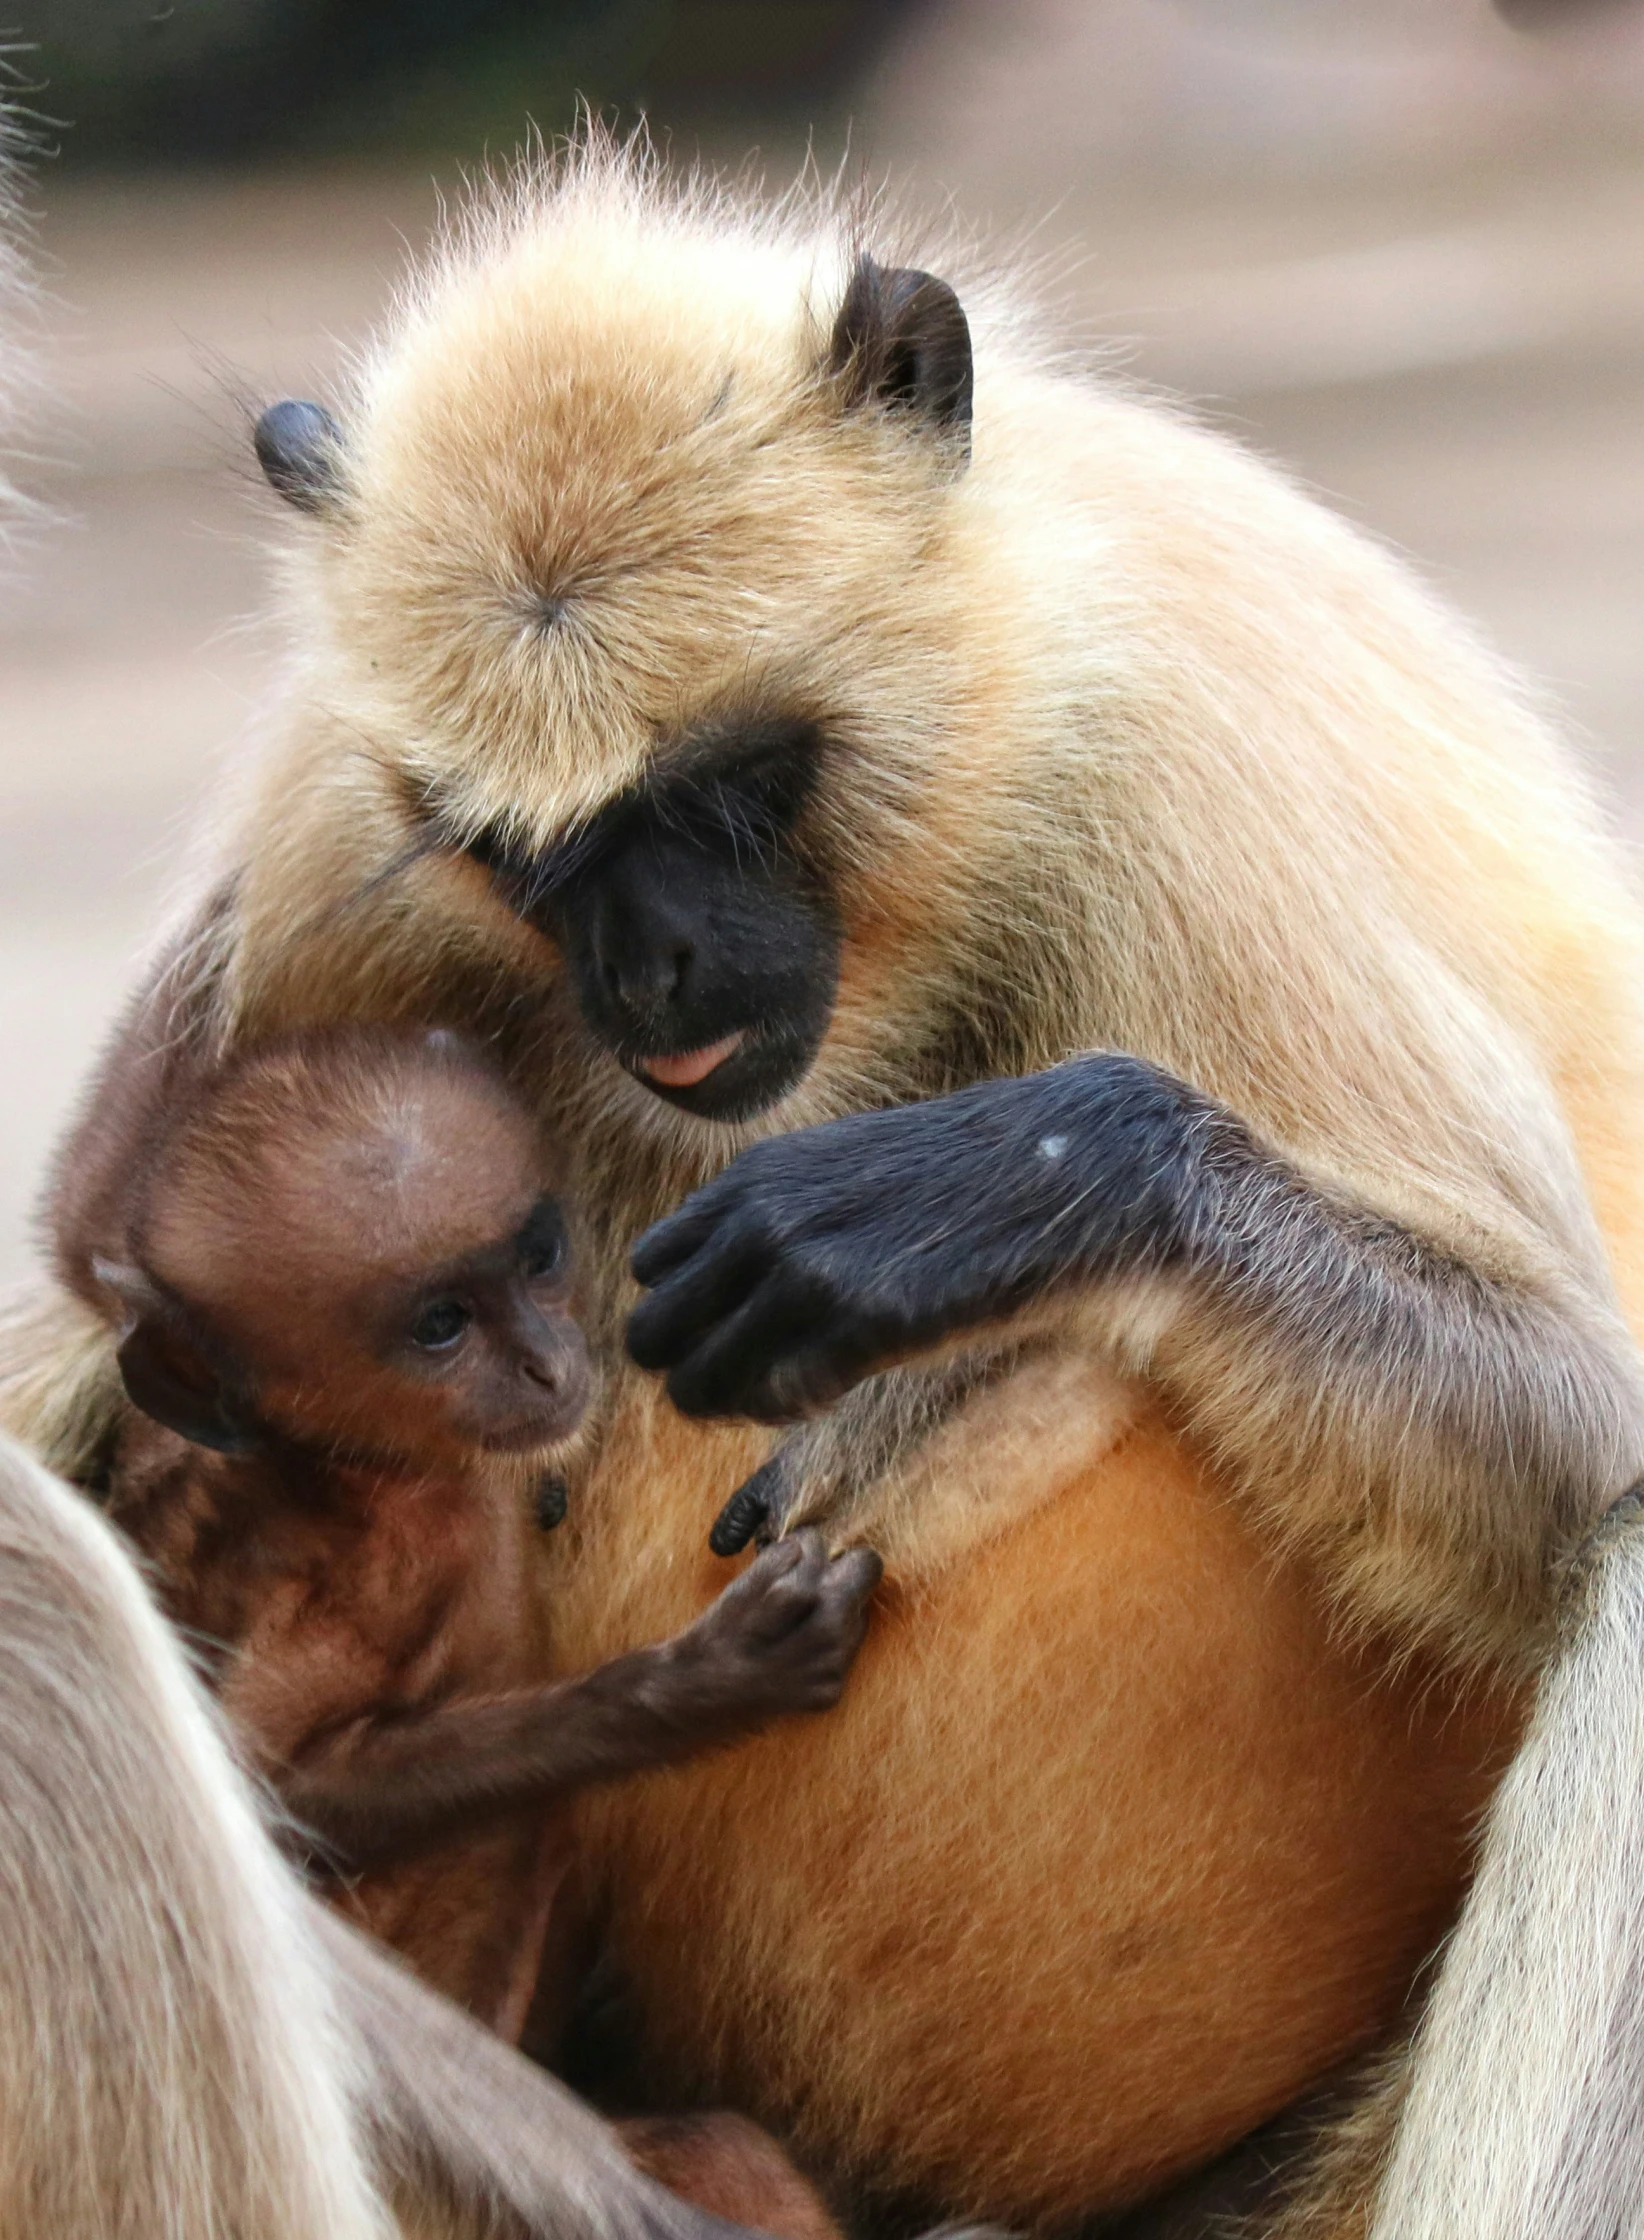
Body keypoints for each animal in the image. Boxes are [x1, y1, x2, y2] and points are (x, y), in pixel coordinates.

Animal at [93, 1030, 877, 2240]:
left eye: (537, 1258)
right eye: (440, 1326)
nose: (549, 1363)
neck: (357, 1473)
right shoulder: (391, 1557)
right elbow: (271, 1815)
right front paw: (694, 1689)